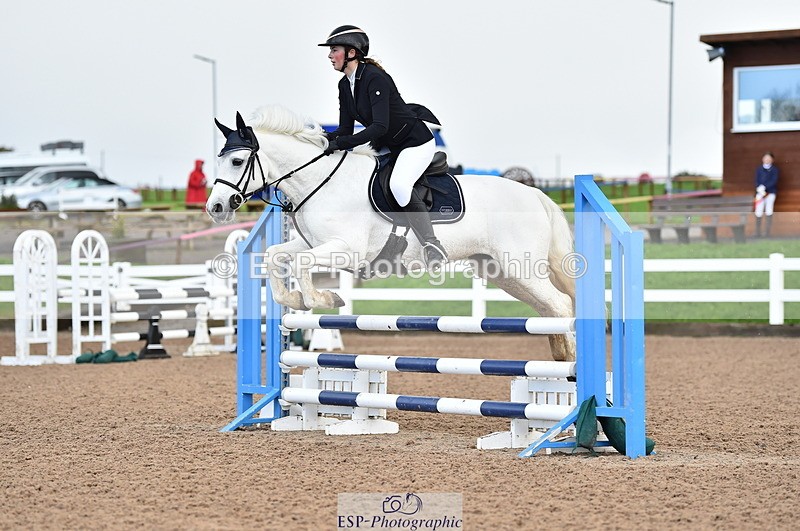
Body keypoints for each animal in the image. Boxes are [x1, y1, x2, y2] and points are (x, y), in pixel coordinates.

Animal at [206, 105, 577, 361]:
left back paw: (571, 366)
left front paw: (325, 299)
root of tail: (536, 194)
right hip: (501, 271)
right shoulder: (313, 243)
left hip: (520, 266)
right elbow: (275, 256)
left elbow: (301, 266)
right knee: (550, 309)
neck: (321, 182)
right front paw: (294, 300)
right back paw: (559, 360)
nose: (216, 207)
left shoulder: (346, 249)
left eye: (237, 162)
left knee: (560, 304)